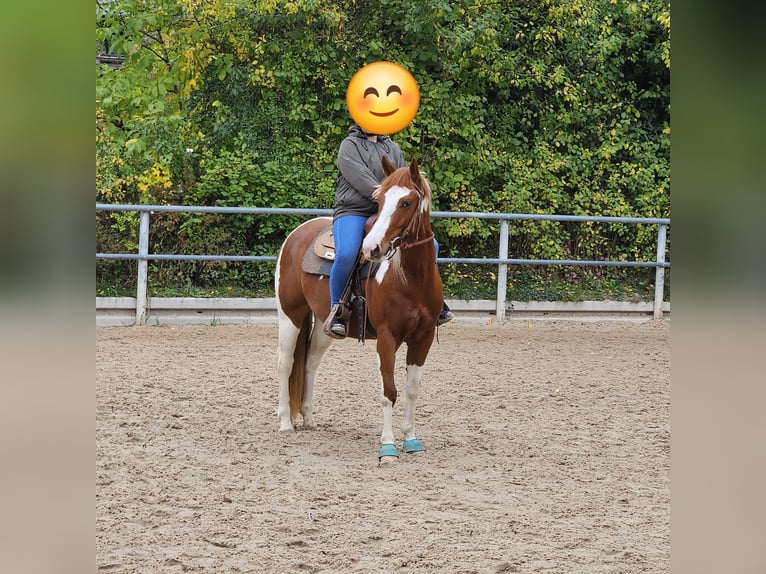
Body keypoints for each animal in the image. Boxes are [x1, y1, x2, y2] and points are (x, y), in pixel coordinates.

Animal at [274, 156, 444, 461]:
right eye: (381, 200)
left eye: (406, 203)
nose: (372, 248)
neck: (411, 278)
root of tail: (296, 235)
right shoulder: (387, 338)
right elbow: (389, 391)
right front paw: (388, 446)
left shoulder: (423, 338)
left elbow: (412, 389)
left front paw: (411, 439)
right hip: (290, 315)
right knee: (286, 362)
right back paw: (285, 422)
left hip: (325, 326)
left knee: (310, 363)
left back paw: (308, 418)